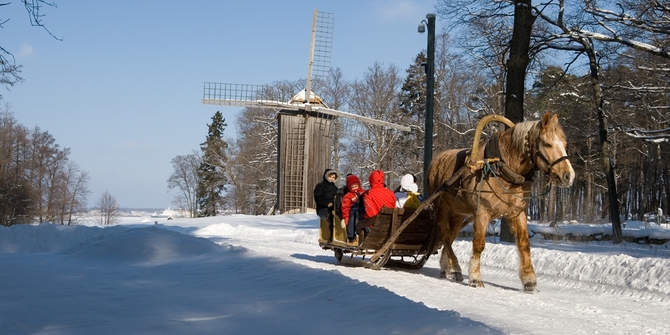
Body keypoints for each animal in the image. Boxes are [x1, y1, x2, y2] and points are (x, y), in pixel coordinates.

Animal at [428, 112, 576, 292]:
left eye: (564, 143)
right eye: (547, 144)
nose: (568, 176)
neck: (502, 167)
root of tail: (436, 160)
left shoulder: (517, 213)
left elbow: (524, 244)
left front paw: (529, 280)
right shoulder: (482, 213)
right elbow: (479, 244)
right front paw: (475, 277)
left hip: (457, 212)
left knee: (449, 236)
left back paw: (446, 267)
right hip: (441, 207)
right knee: (444, 234)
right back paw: (455, 267)